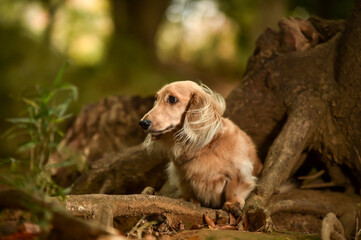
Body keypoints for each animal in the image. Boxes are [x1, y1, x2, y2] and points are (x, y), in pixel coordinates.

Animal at [139, 81, 262, 214]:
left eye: (172, 99)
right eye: (156, 99)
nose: (142, 123)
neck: (202, 147)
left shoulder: (239, 171)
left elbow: (235, 189)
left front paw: (233, 203)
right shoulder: (183, 177)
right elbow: (188, 190)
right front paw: (190, 200)